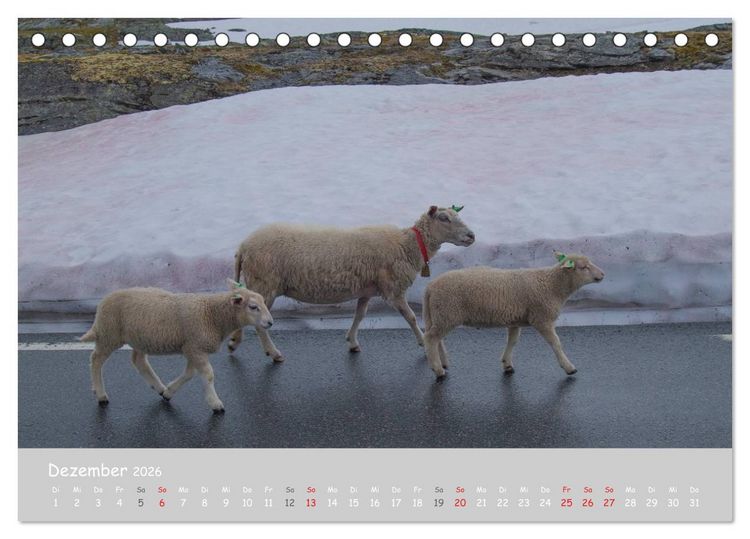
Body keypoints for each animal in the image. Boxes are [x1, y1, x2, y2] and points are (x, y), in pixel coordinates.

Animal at [79, 279, 273, 413]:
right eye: (253, 307)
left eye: (264, 302)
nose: (270, 322)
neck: (212, 314)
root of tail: (103, 302)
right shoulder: (196, 348)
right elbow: (208, 375)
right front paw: (215, 403)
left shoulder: (192, 347)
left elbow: (189, 374)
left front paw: (169, 392)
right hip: (109, 333)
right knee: (96, 359)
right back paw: (101, 394)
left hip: (139, 337)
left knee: (138, 360)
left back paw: (159, 387)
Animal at [229, 205, 475, 360]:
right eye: (444, 218)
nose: (471, 236)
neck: (407, 245)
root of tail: (243, 246)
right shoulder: (393, 289)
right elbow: (411, 317)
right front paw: (423, 342)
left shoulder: (367, 289)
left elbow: (360, 315)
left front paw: (352, 341)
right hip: (265, 284)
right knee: (258, 324)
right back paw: (274, 353)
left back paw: (234, 342)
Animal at [422, 251, 605, 378]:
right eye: (583, 267)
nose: (602, 274)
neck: (552, 285)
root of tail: (430, 287)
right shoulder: (541, 318)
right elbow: (556, 343)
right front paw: (569, 367)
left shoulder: (515, 319)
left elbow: (513, 341)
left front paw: (507, 364)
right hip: (448, 312)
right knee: (430, 338)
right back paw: (437, 370)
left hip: (441, 314)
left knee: (436, 338)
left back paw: (443, 363)